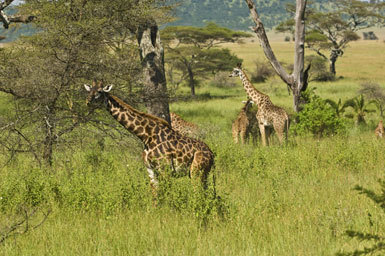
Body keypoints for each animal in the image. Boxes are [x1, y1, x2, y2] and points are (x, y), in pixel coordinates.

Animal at [83, 81, 213, 193]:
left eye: (99, 91)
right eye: (89, 90)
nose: (87, 101)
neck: (145, 136)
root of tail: (212, 154)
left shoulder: (164, 169)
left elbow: (167, 195)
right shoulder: (150, 170)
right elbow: (155, 197)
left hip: (196, 171)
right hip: (201, 173)